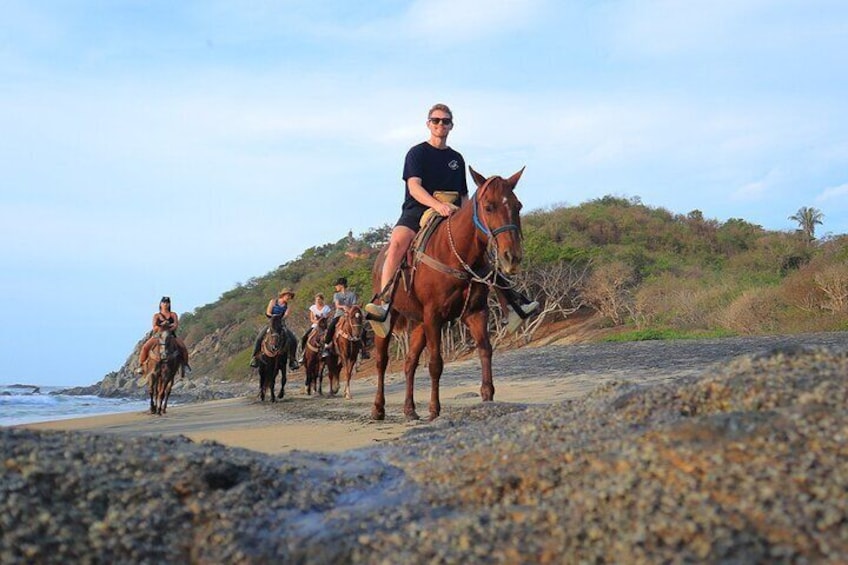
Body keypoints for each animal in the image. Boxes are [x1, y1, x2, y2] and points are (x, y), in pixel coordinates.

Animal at [370, 165, 524, 420]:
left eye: (517, 206)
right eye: (489, 207)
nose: (512, 257)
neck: (455, 254)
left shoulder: (475, 312)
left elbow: (485, 350)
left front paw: (488, 396)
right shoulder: (434, 317)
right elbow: (435, 363)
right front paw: (434, 409)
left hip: (419, 323)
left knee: (410, 362)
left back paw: (410, 409)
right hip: (389, 320)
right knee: (382, 361)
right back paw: (378, 408)